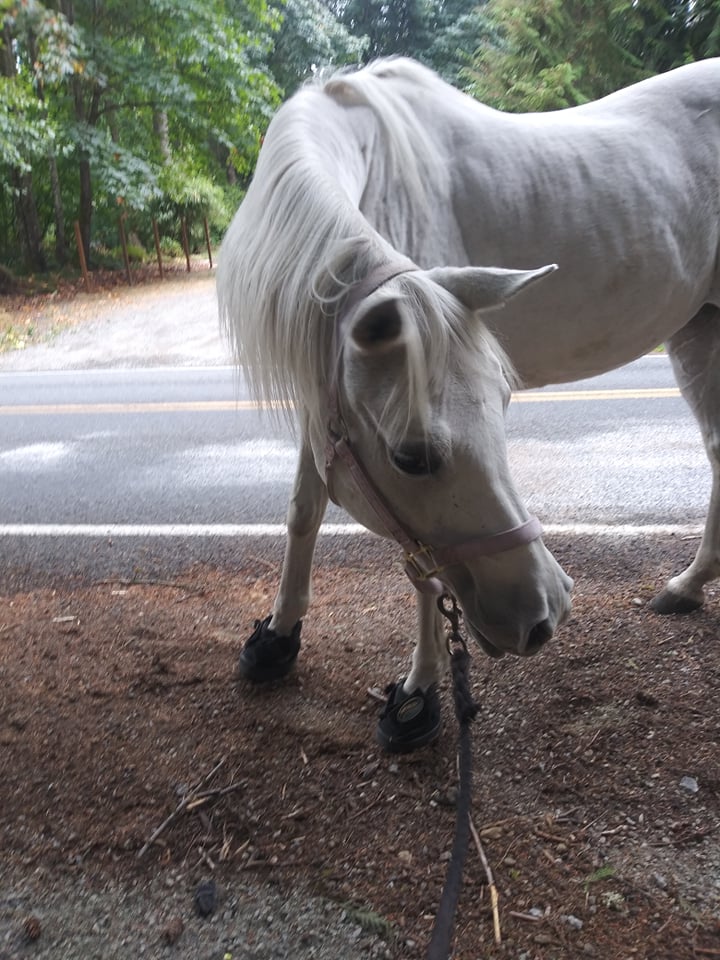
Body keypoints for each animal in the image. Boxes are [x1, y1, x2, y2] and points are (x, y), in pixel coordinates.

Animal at [218, 58, 720, 752]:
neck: (375, 167)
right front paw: (277, 637)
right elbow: (303, 512)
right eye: (411, 457)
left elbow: (422, 574)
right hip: (698, 329)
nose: (547, 611)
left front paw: (419, 694)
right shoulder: (326, 401)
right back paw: (689, 585)